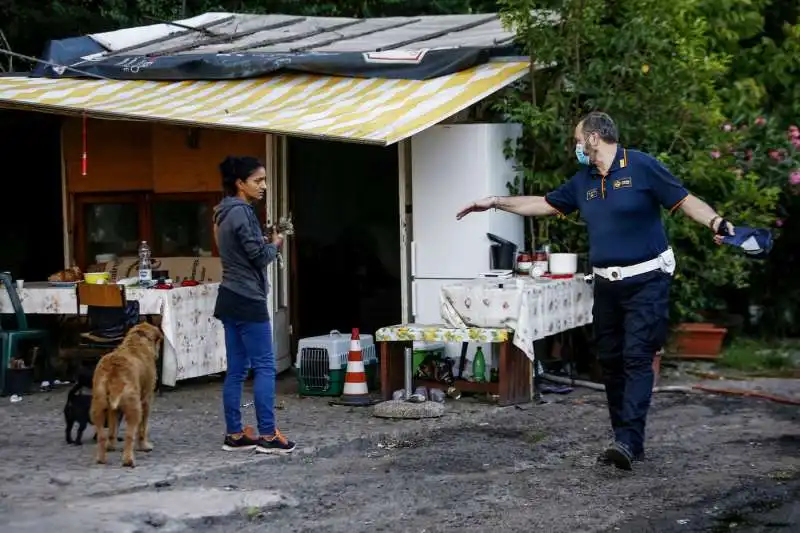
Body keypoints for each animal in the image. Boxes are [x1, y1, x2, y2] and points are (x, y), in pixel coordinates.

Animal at [91, 320, 162, 466]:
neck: (137, 341)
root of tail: (114, 369)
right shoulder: (146, 400)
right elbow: (142, 428)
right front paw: (144, 446)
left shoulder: (113, 410)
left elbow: (112, 429)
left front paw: (111, 446)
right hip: (134, 408)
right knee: (129, 435)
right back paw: (128, 460)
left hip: (98, 407)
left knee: (101, 435)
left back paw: (101, 458)